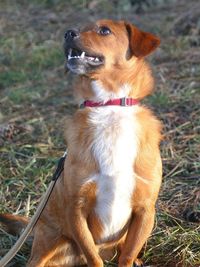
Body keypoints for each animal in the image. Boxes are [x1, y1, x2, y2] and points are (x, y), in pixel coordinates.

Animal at [0, 19, 162, 267]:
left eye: (104, 30)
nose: (68, 33)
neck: (109, 107)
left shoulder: (145, 210)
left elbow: (126, 255)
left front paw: (130, 259)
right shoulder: (76, 210)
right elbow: (93, 257)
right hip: (49, 241)